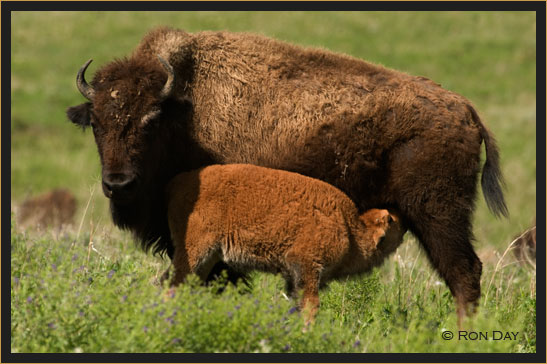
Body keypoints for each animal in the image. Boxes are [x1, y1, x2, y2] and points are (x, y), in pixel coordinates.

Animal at [167, 165, 406, 322]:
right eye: (390, 221)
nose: (398, 214)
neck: (351, 228)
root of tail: (177, 183)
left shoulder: (293, 276)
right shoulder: (306, 266)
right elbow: (310, 305)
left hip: (208, 257)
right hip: (196, 251)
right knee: (173, 284)